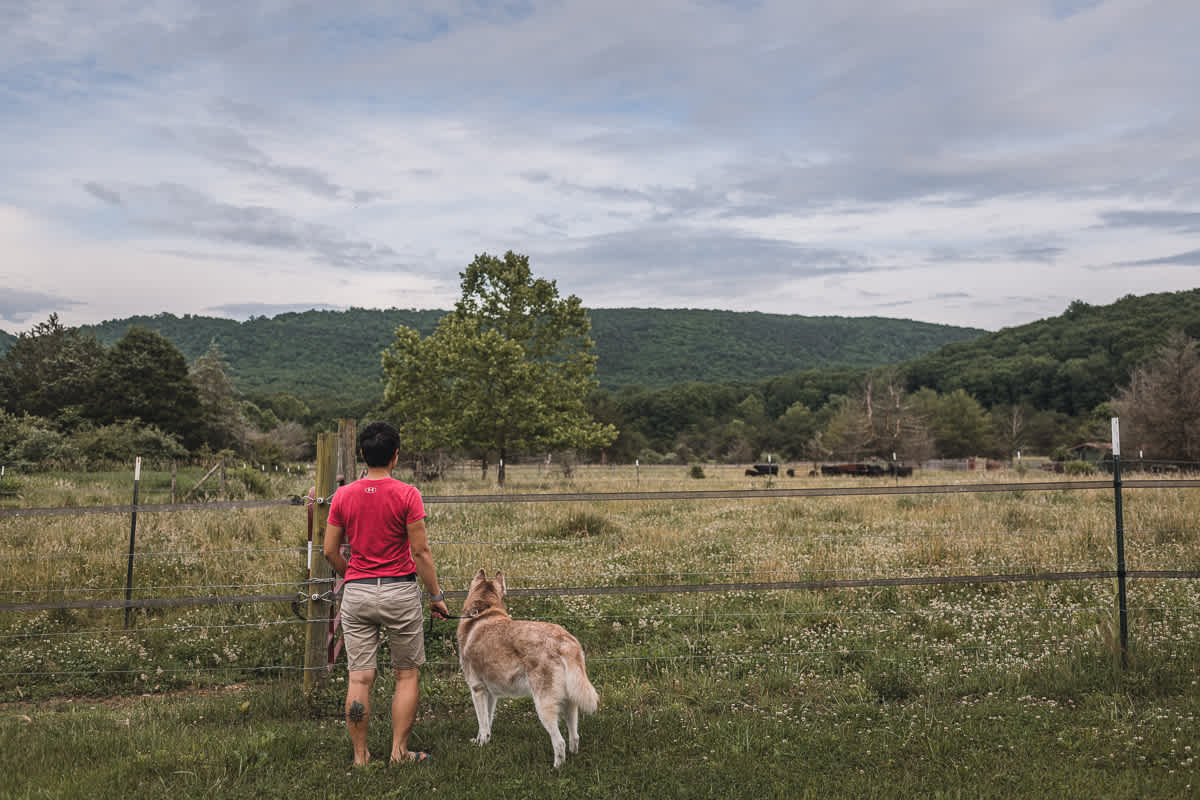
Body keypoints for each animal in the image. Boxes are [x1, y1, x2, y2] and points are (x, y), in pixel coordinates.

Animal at [453, 568, 600, 767]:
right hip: (570, 702)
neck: (482, 611)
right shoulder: (490, 694)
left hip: (543, 705)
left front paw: (481, 745)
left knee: (559, 742)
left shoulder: (477, 690)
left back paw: (556, 767)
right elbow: (487, 723)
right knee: (574, 736)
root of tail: (563, 640)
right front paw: (483, 742)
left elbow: (482, 724)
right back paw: (573, 755)